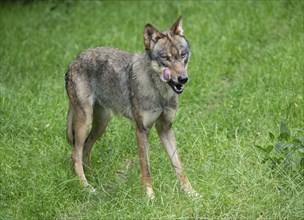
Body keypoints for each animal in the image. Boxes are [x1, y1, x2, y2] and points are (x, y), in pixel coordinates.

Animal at [65, 15, 198, 198]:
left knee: (86, 147)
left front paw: (191, 193)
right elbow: (146, 169)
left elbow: (179, 165)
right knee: (75, 154)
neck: (160, 92)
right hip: (84, 123)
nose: (183, 79)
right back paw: (86, 186)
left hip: (102, 123)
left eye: (183, 55)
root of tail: (73, 61)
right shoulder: (142, 130)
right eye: (166, 58)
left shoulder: (165, 128)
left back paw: (92, 177)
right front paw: (150, 197)